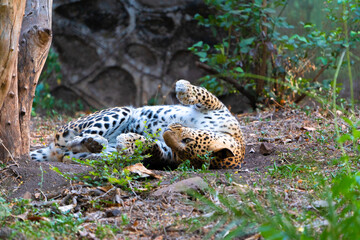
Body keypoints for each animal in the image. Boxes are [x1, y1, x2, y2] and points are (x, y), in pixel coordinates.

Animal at [30, 80, 245, 169]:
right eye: (187, 139)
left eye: (184, 145)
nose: (167, 131)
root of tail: (51, 150)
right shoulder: (218, 108)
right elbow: (205, 94)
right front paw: (183, 87)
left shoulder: (167, 154)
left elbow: (153, 148)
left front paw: (130, 139)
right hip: (120, 110)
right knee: (71, 141)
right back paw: (96, 142)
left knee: (69, 153)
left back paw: (97, 146)